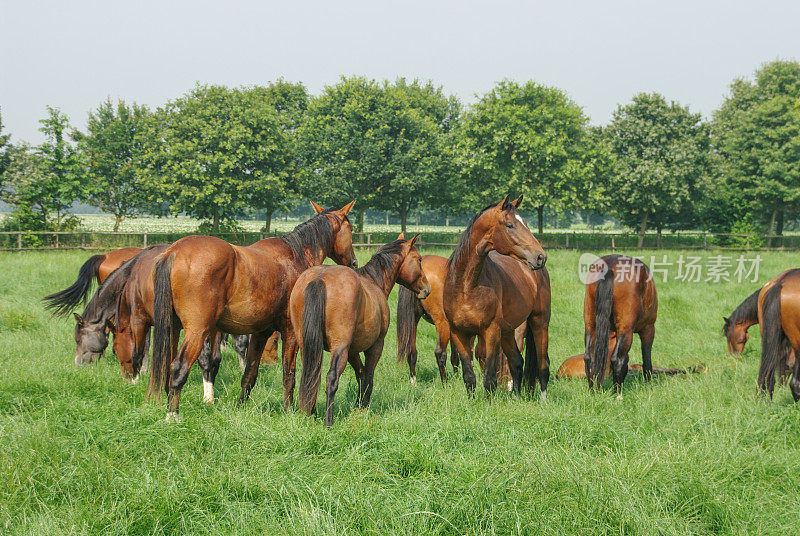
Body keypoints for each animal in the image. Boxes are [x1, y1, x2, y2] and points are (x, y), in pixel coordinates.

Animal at [146, 199, 356, 420]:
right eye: (350, 228)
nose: (353, 262)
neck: (295, 256)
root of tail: (174, 252)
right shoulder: (290, 333)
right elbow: (288, 375)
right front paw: (288, 411)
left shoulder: (260, 333)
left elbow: (249, 374)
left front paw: (240, 406)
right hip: (197, 331)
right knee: (179, 368)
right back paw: (173, 415)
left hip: (173, 329)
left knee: (168, 367)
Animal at [292, 234, 432, 428]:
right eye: (419, 259)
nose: (427, 289)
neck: (373, 281)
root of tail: (320, 278)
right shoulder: (375, 347)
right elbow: (368, 377)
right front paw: (364, 407)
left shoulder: (352, 351)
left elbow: (360, 374)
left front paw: (358, 406)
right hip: (340, 348)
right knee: (331, 379)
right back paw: (329, 421)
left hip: (307, 346)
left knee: (311, 374)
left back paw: (311, 413)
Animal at [440, 195, 552, 396]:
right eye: (510, 225)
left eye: (525, 223)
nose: (540, 257)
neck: (466, 286)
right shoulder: (459, 333)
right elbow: (469, 377)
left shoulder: (491, 333)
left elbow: (490, 379)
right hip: (507, 331)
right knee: (517, 362)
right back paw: (515, 397)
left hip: (540, 322)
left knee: (542, 366)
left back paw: (542, 399)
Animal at [580, 253, 656, 396]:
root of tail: (611, 266)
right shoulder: (648, 328)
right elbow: (646, 358)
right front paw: (648, 384)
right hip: (626, 329)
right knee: (617, 359)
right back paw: (618, 394)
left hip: (590, 324)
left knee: (589, 357)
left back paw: (593, 390)